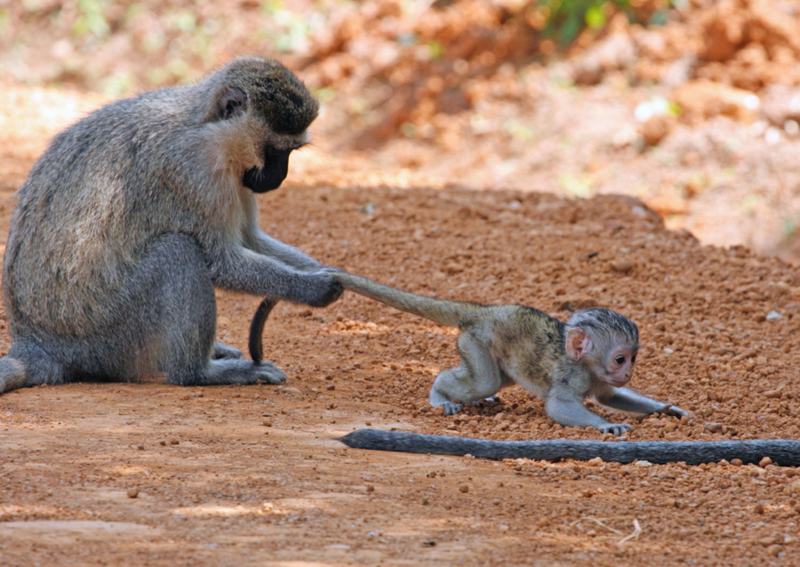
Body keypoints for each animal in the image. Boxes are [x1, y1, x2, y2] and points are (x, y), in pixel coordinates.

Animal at [0, 55, 340, 398]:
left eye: (291, 152)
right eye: (275, 150)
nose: (280, 177)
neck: (205, 127)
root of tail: (37, 343)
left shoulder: (239, 175)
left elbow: (249, 239)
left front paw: (331, 273)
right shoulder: (193, 172)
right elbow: (222, 260)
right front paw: (314, 287)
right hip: (107, 332)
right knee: (179, 250)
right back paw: (201, 372)